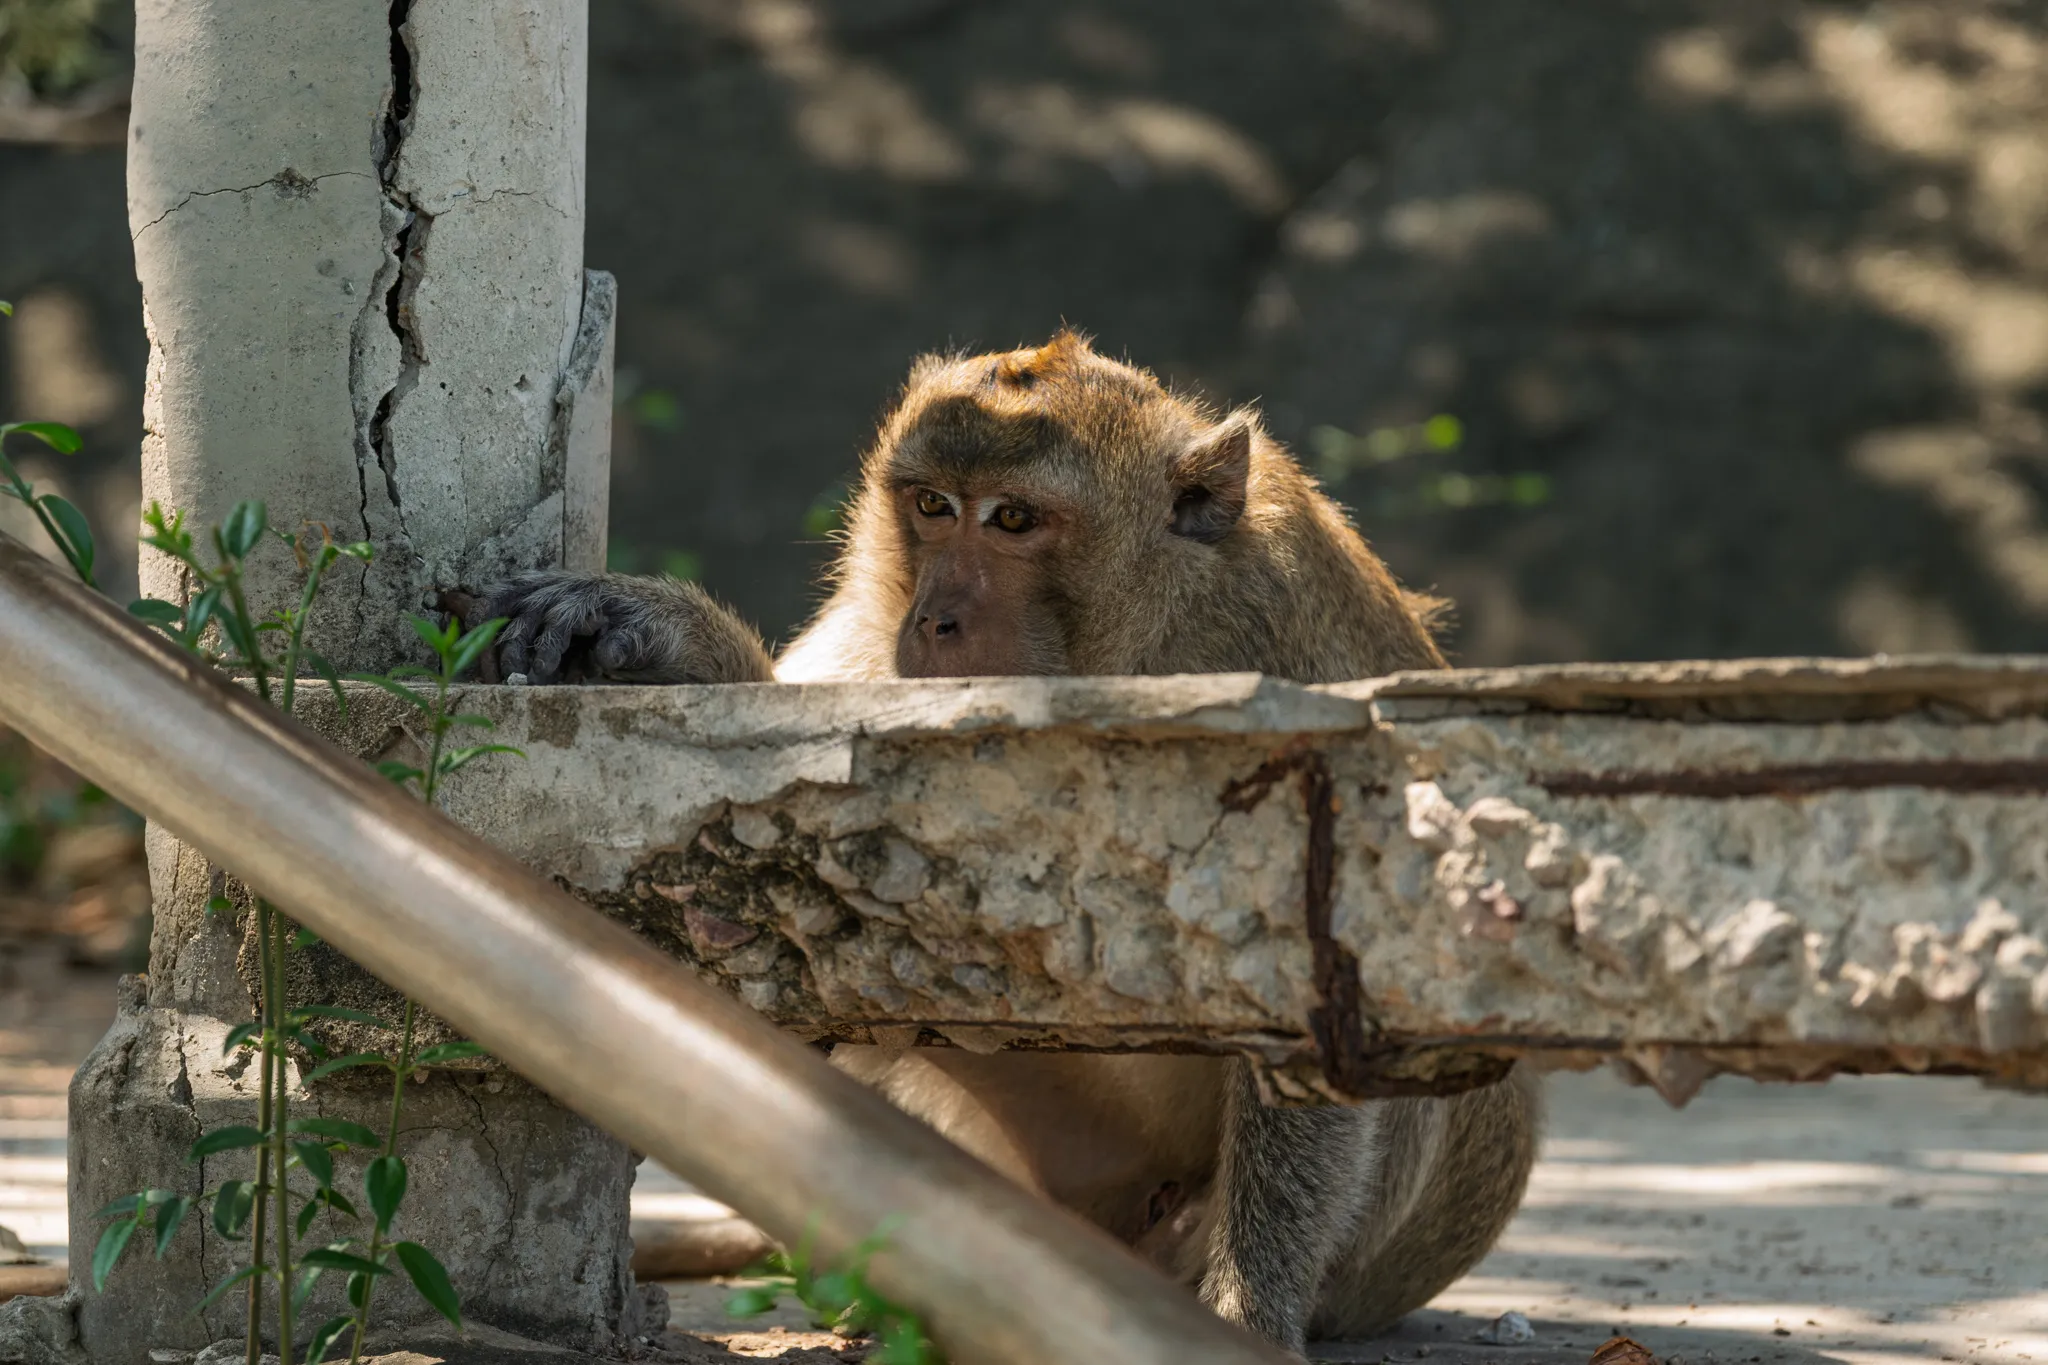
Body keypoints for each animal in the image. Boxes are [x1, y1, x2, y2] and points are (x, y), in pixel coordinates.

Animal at [475, 331, 1541, 1358]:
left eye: (1014, 520)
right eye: (934, 505)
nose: (934, 618)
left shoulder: (1281, 654)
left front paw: (1248, 1319)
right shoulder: (871, 629)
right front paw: (671, 637)